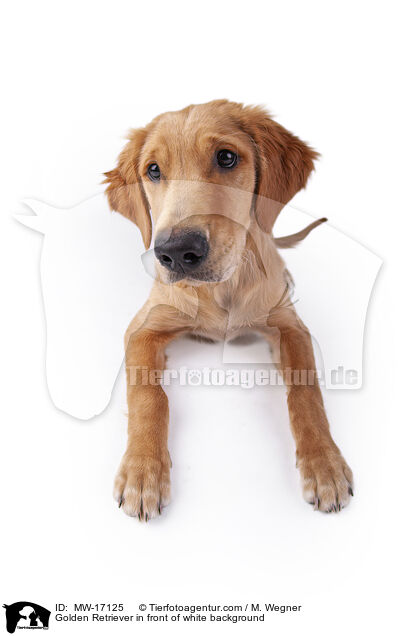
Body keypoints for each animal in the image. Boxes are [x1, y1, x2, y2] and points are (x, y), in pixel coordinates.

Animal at [104, 102, 354, 520]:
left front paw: (325, 466)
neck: (221, 289)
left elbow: (305, 392)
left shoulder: (290, 326)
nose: (175, 252)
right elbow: (148, 395)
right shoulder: (143, 327)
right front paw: (143, 472)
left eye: (226, 157)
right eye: (153, 170)